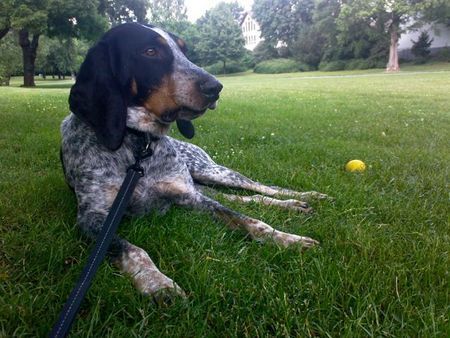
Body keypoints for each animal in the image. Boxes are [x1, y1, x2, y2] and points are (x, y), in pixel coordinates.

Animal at [60, 22, 326, 300]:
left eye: (184, 50)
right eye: (150, 51)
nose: (215, 87)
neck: (139, 145)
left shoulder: (190, 197)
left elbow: (250, 220)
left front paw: (287, 239)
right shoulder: (93, 218)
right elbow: (131, 249)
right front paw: (157, 282)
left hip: (213, 172)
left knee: (260, 189)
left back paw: (301, 199)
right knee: (244, 197)